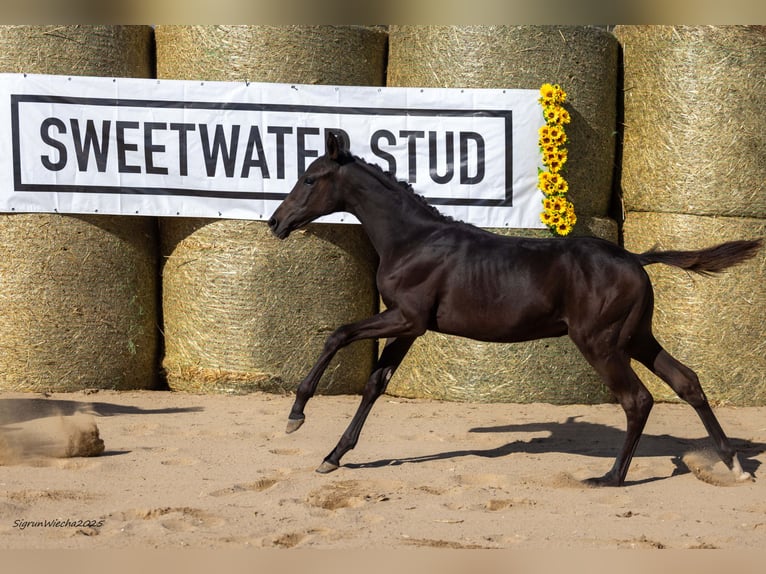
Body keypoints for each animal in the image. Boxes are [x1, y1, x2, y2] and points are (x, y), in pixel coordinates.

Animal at [268, 132, 761, 486]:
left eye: (309, 178)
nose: (276, 222)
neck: (413, 240)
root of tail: (634, 259)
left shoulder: (407, 317)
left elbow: (338, 334)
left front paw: (296, 416)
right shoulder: (408, 327)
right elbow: (374, 385)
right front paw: (333, 456)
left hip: (600, 343)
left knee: (637, 400)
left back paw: (611, 477)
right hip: (637, 337)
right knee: (687, 381)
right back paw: (733, 464)